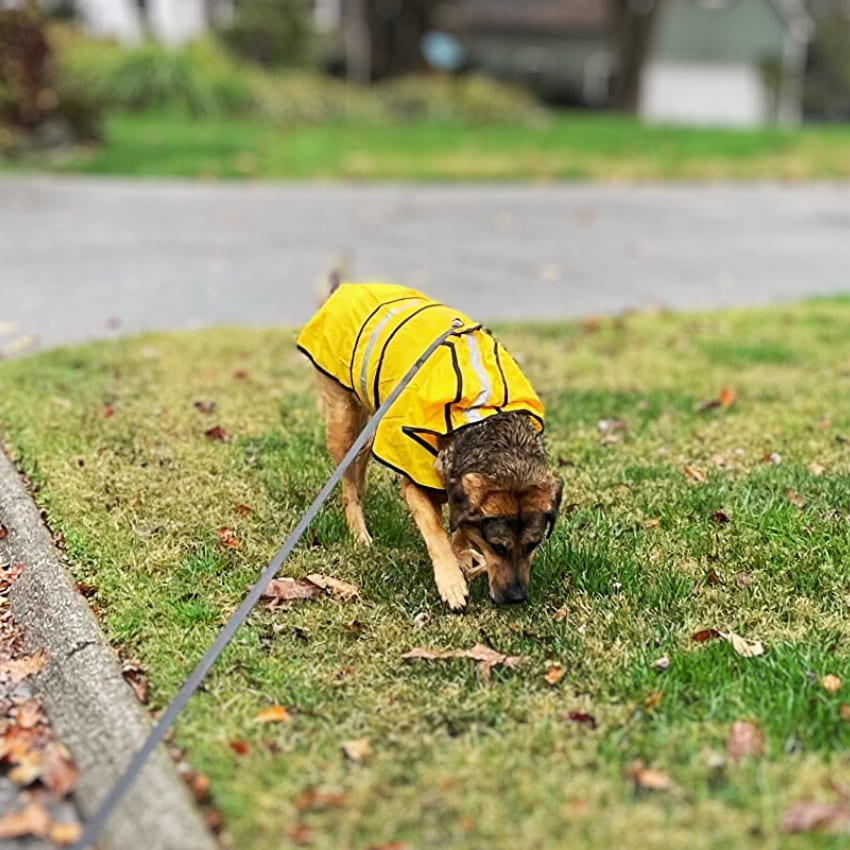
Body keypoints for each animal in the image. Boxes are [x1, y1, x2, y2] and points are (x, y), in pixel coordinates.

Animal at [294, 274, 560, 608]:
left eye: (533, 544)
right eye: (498, 546)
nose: (516, 598)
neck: (483, 416)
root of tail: (347, 288)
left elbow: (460, 528)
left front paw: (463, 556)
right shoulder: (415, 483)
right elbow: (435, 532)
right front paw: (451, 581)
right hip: (342, 420)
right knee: (348, 484)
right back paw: (359, 533)